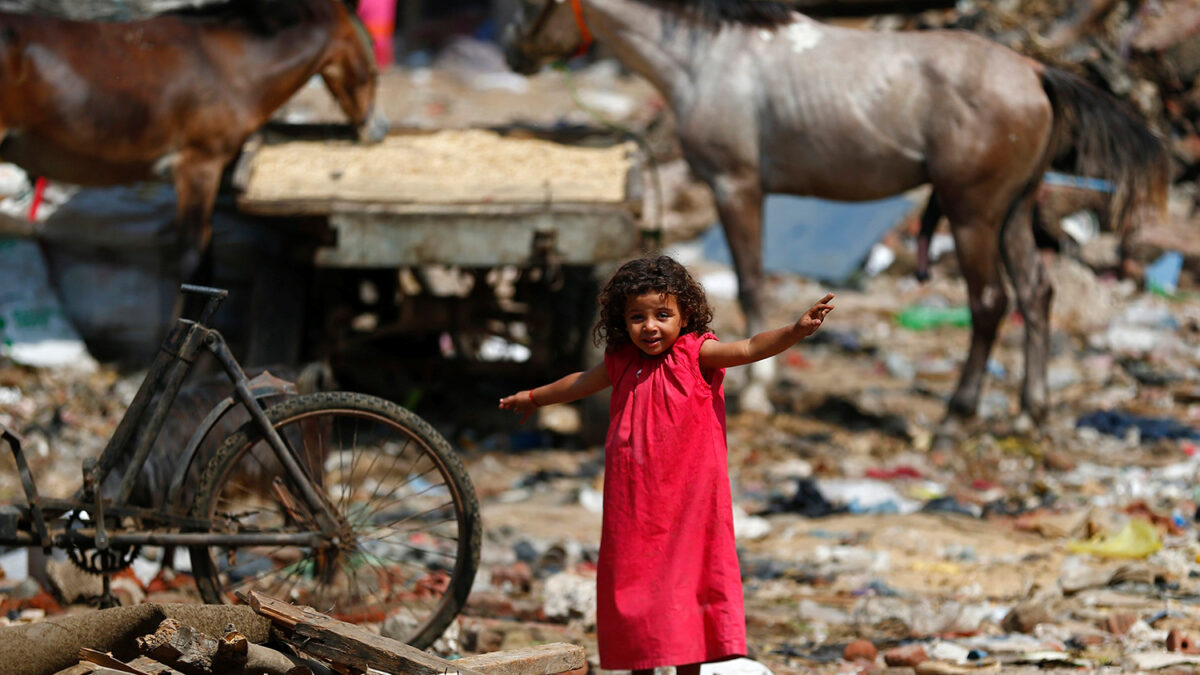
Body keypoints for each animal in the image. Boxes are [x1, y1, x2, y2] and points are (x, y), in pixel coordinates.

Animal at [501, 0, 1166, 427]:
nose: (513, 51)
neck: (711, 59)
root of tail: (1033, 69)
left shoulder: (736, 187)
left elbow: (750, 282)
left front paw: (759, 393)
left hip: (972, 212)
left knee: (990, 303)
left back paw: (958, 416)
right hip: (1013, 212)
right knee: (1036, 294)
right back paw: (1032, 413)